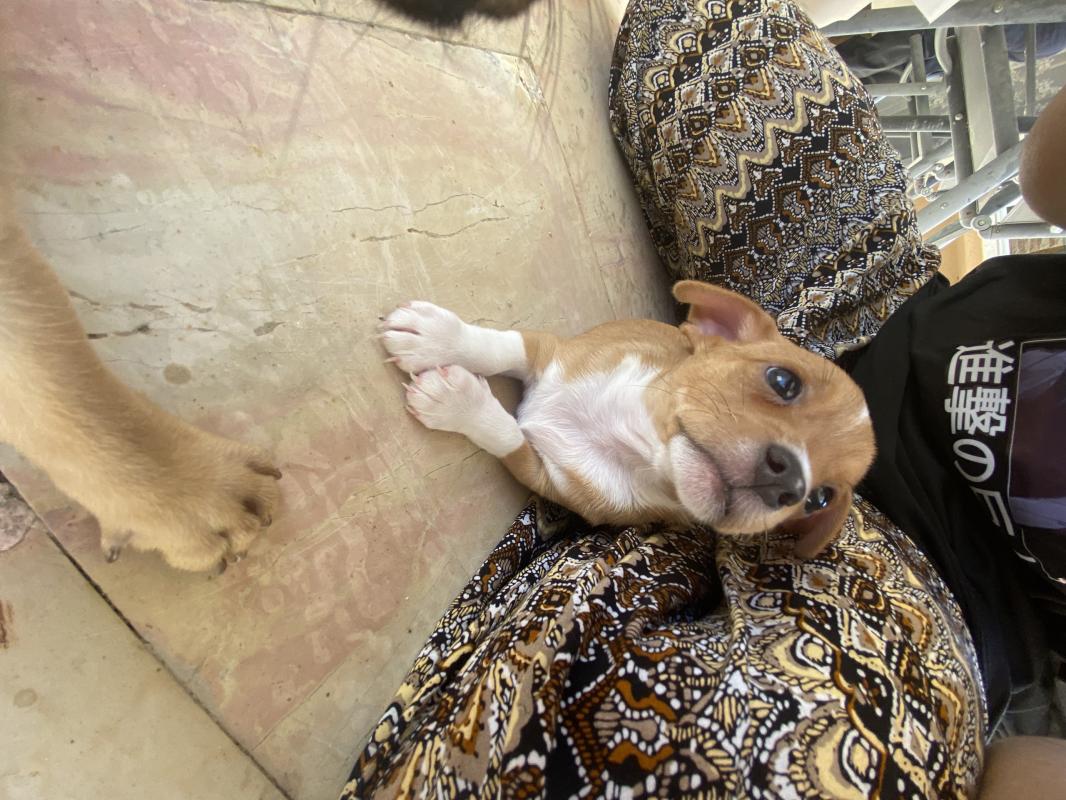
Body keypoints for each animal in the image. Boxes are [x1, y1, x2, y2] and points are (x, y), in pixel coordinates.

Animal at [379, 280, 875, 556]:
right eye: (783, 380)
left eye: (819, 500)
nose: (790, 483)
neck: (626, 434)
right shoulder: (549, 350)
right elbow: (501, 345)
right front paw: (438, 338)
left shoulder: (543, 477)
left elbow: (506, 433)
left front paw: (456, 402)